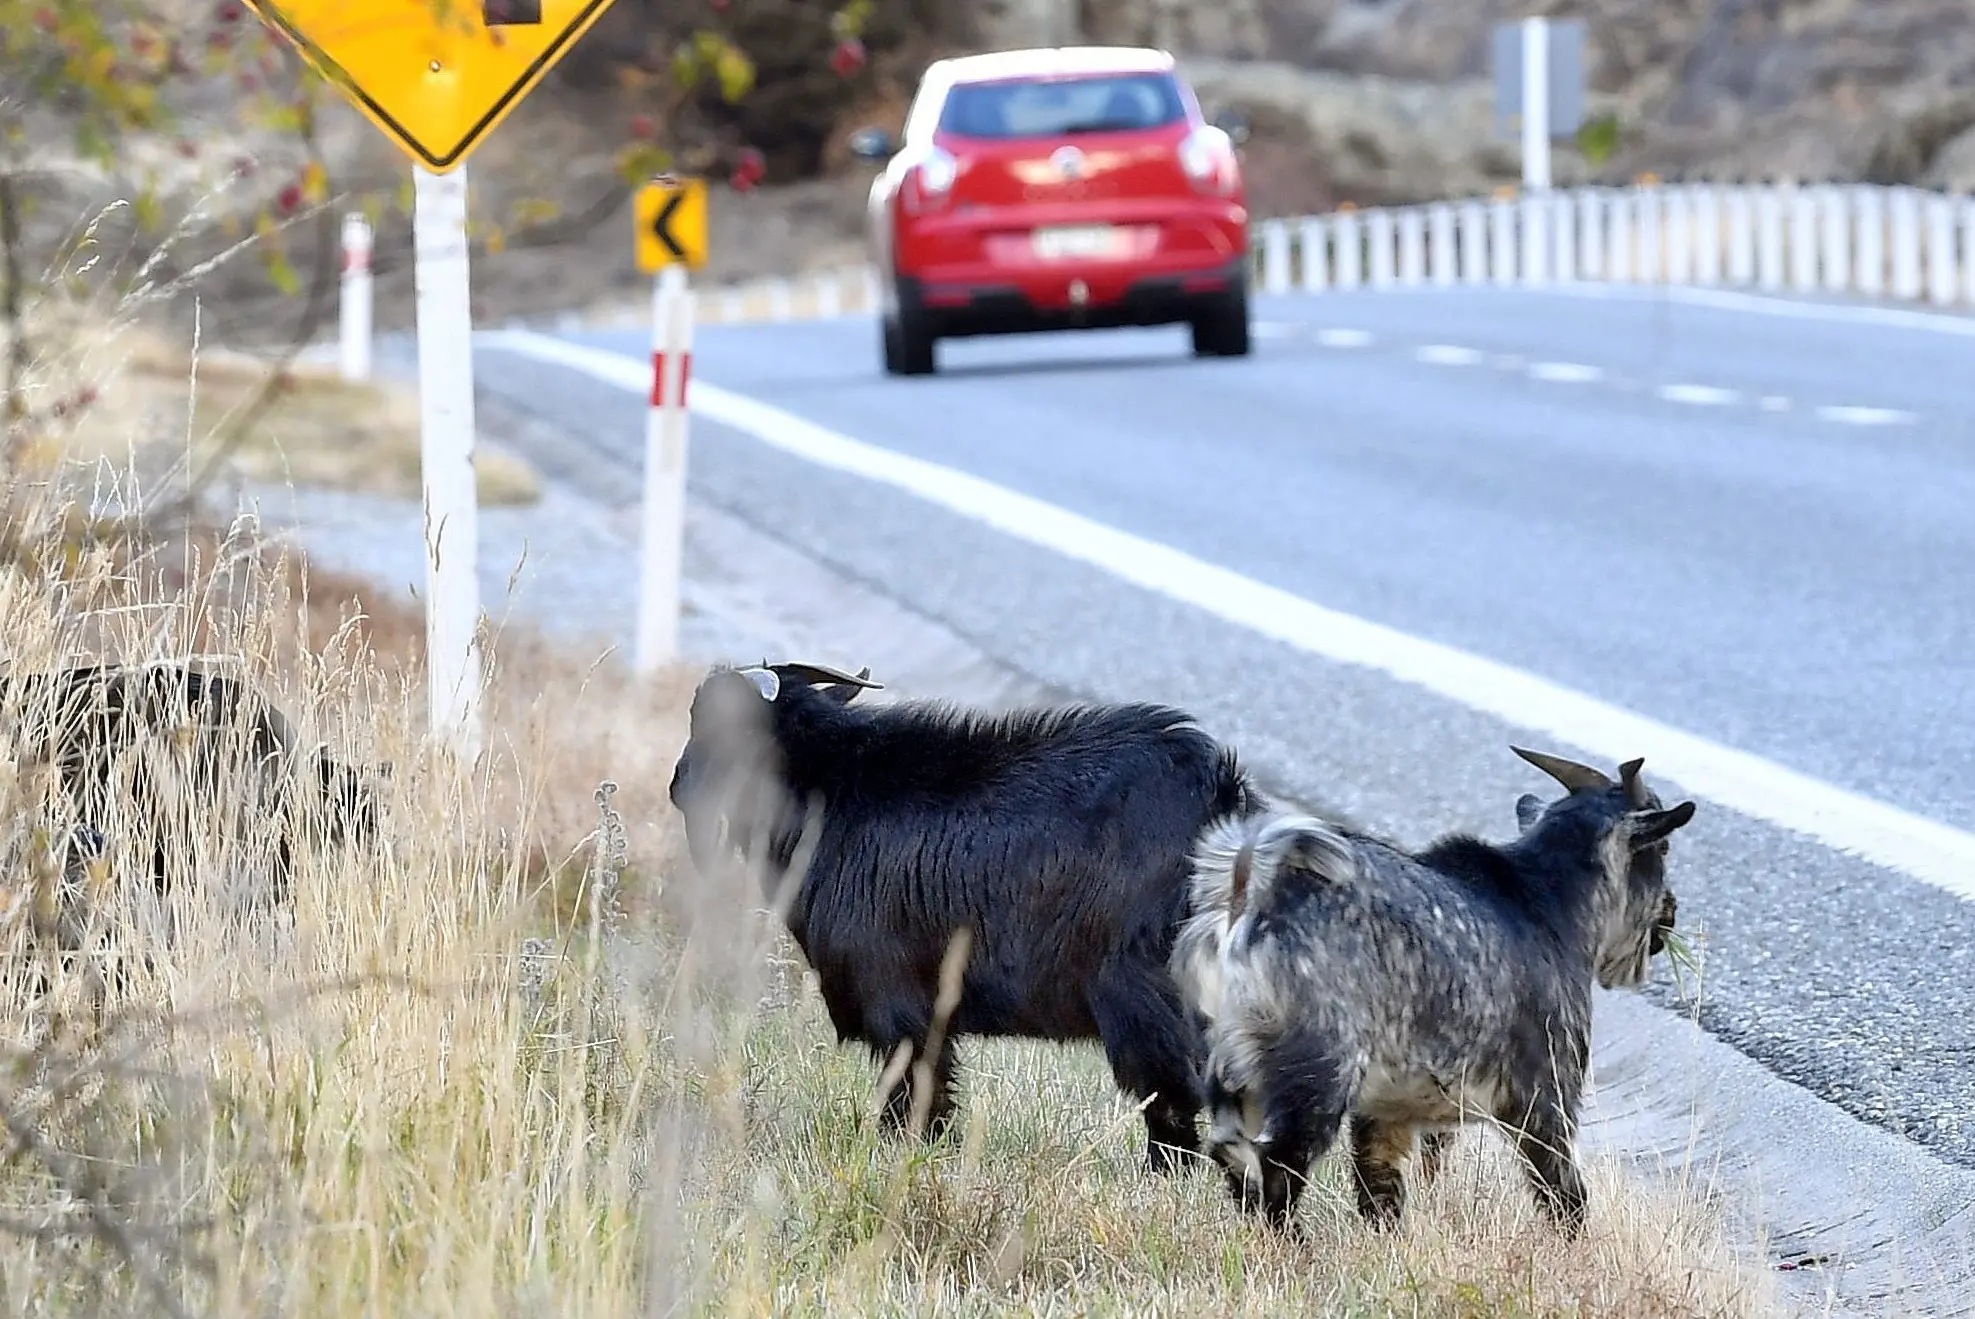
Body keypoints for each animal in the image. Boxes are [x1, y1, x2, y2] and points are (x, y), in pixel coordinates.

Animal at [667, 660, 1261, 1171]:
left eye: (712, 723)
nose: (676, 787)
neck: (829, 794)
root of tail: (1223, 799)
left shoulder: (899, 1004)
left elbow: (915, 1094)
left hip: (1145, 1000)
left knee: (1175, 1098)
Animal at [1170, 747, 1695, 1236]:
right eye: (1664, 849)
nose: (1671, 913)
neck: (1546, 905)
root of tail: (1250, 892)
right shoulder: (1547, 1096)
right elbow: (1565, 1197)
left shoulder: (1388, 1114)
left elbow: (1382, 1189)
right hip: (1317, 1073)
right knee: (1278, 1164)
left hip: (1229, 1061)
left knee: (1231, 1151)